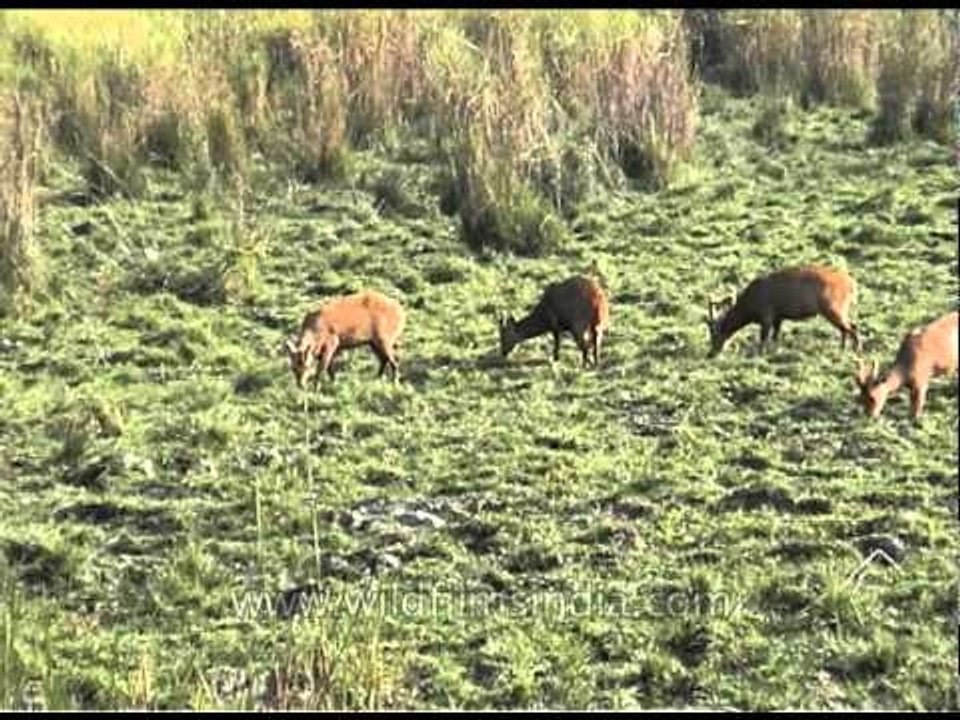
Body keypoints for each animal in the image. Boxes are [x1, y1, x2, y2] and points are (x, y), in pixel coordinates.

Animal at [705, 265, 860, 358]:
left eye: (715, 335)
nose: (711, 354)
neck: (750, 308)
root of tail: (851, 284)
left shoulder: (767, 314)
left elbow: (764, 338)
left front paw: (761, 355)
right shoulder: (778, 316)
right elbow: (775, 337)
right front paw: (774, 352)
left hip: (833, 307)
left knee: (851, 327)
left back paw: (855, 349)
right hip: (838, 309)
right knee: (848, 327)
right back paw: (843, 349)